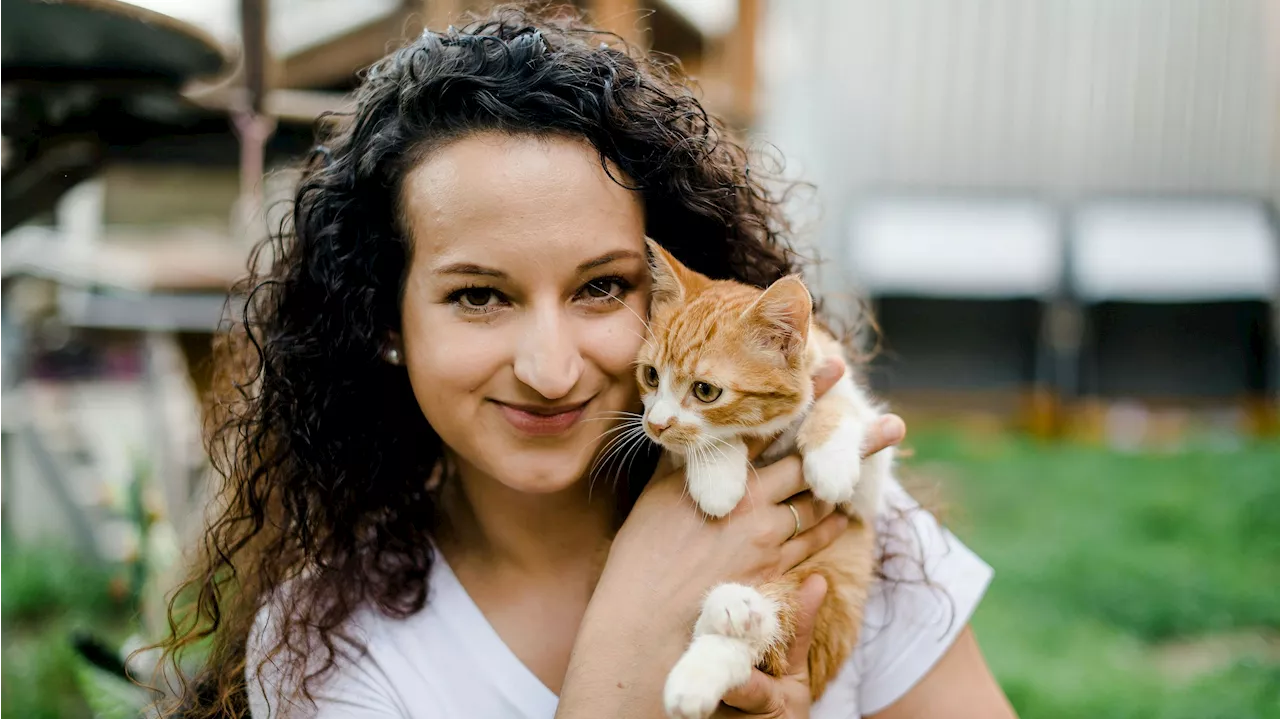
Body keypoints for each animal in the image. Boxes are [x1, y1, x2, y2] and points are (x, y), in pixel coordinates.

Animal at [634, 239, 896, 716]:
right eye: (650, 376)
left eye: (705, 391)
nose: (655, 424)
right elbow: (698, 445)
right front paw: (718, 476)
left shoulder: (869, 496)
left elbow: (837, 406)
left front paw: (830, 463)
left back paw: (725, 622)